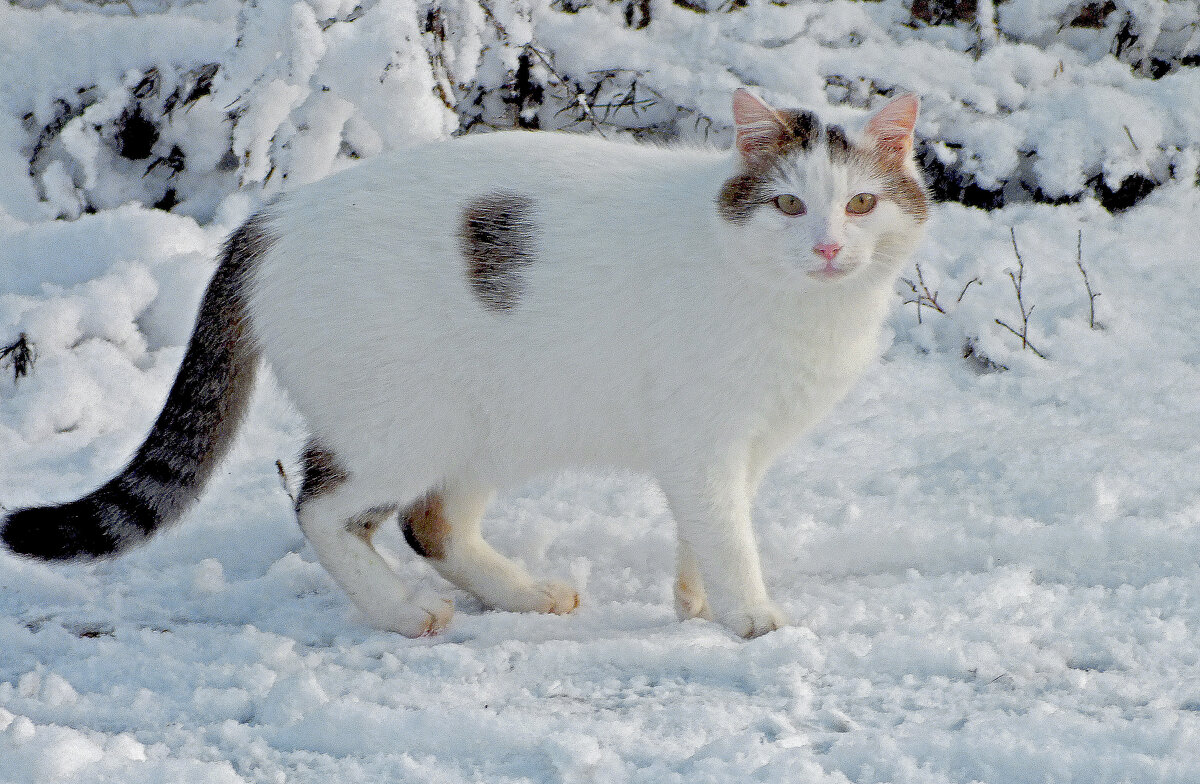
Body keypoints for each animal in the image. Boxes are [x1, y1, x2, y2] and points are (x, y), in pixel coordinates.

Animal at [2, 88, 926, 633]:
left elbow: (708, 531)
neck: (801, 307)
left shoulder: (744, 448)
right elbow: (728, 534)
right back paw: (403, 613)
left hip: (494, 427)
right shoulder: (701, 441)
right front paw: (751, 618)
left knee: (430, 522)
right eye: (788, 205)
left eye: (862, 203)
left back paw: (526, 593)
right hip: (406, 427)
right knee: (323, 506)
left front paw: (698, 604)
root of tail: (268, 219)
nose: (830, 247)